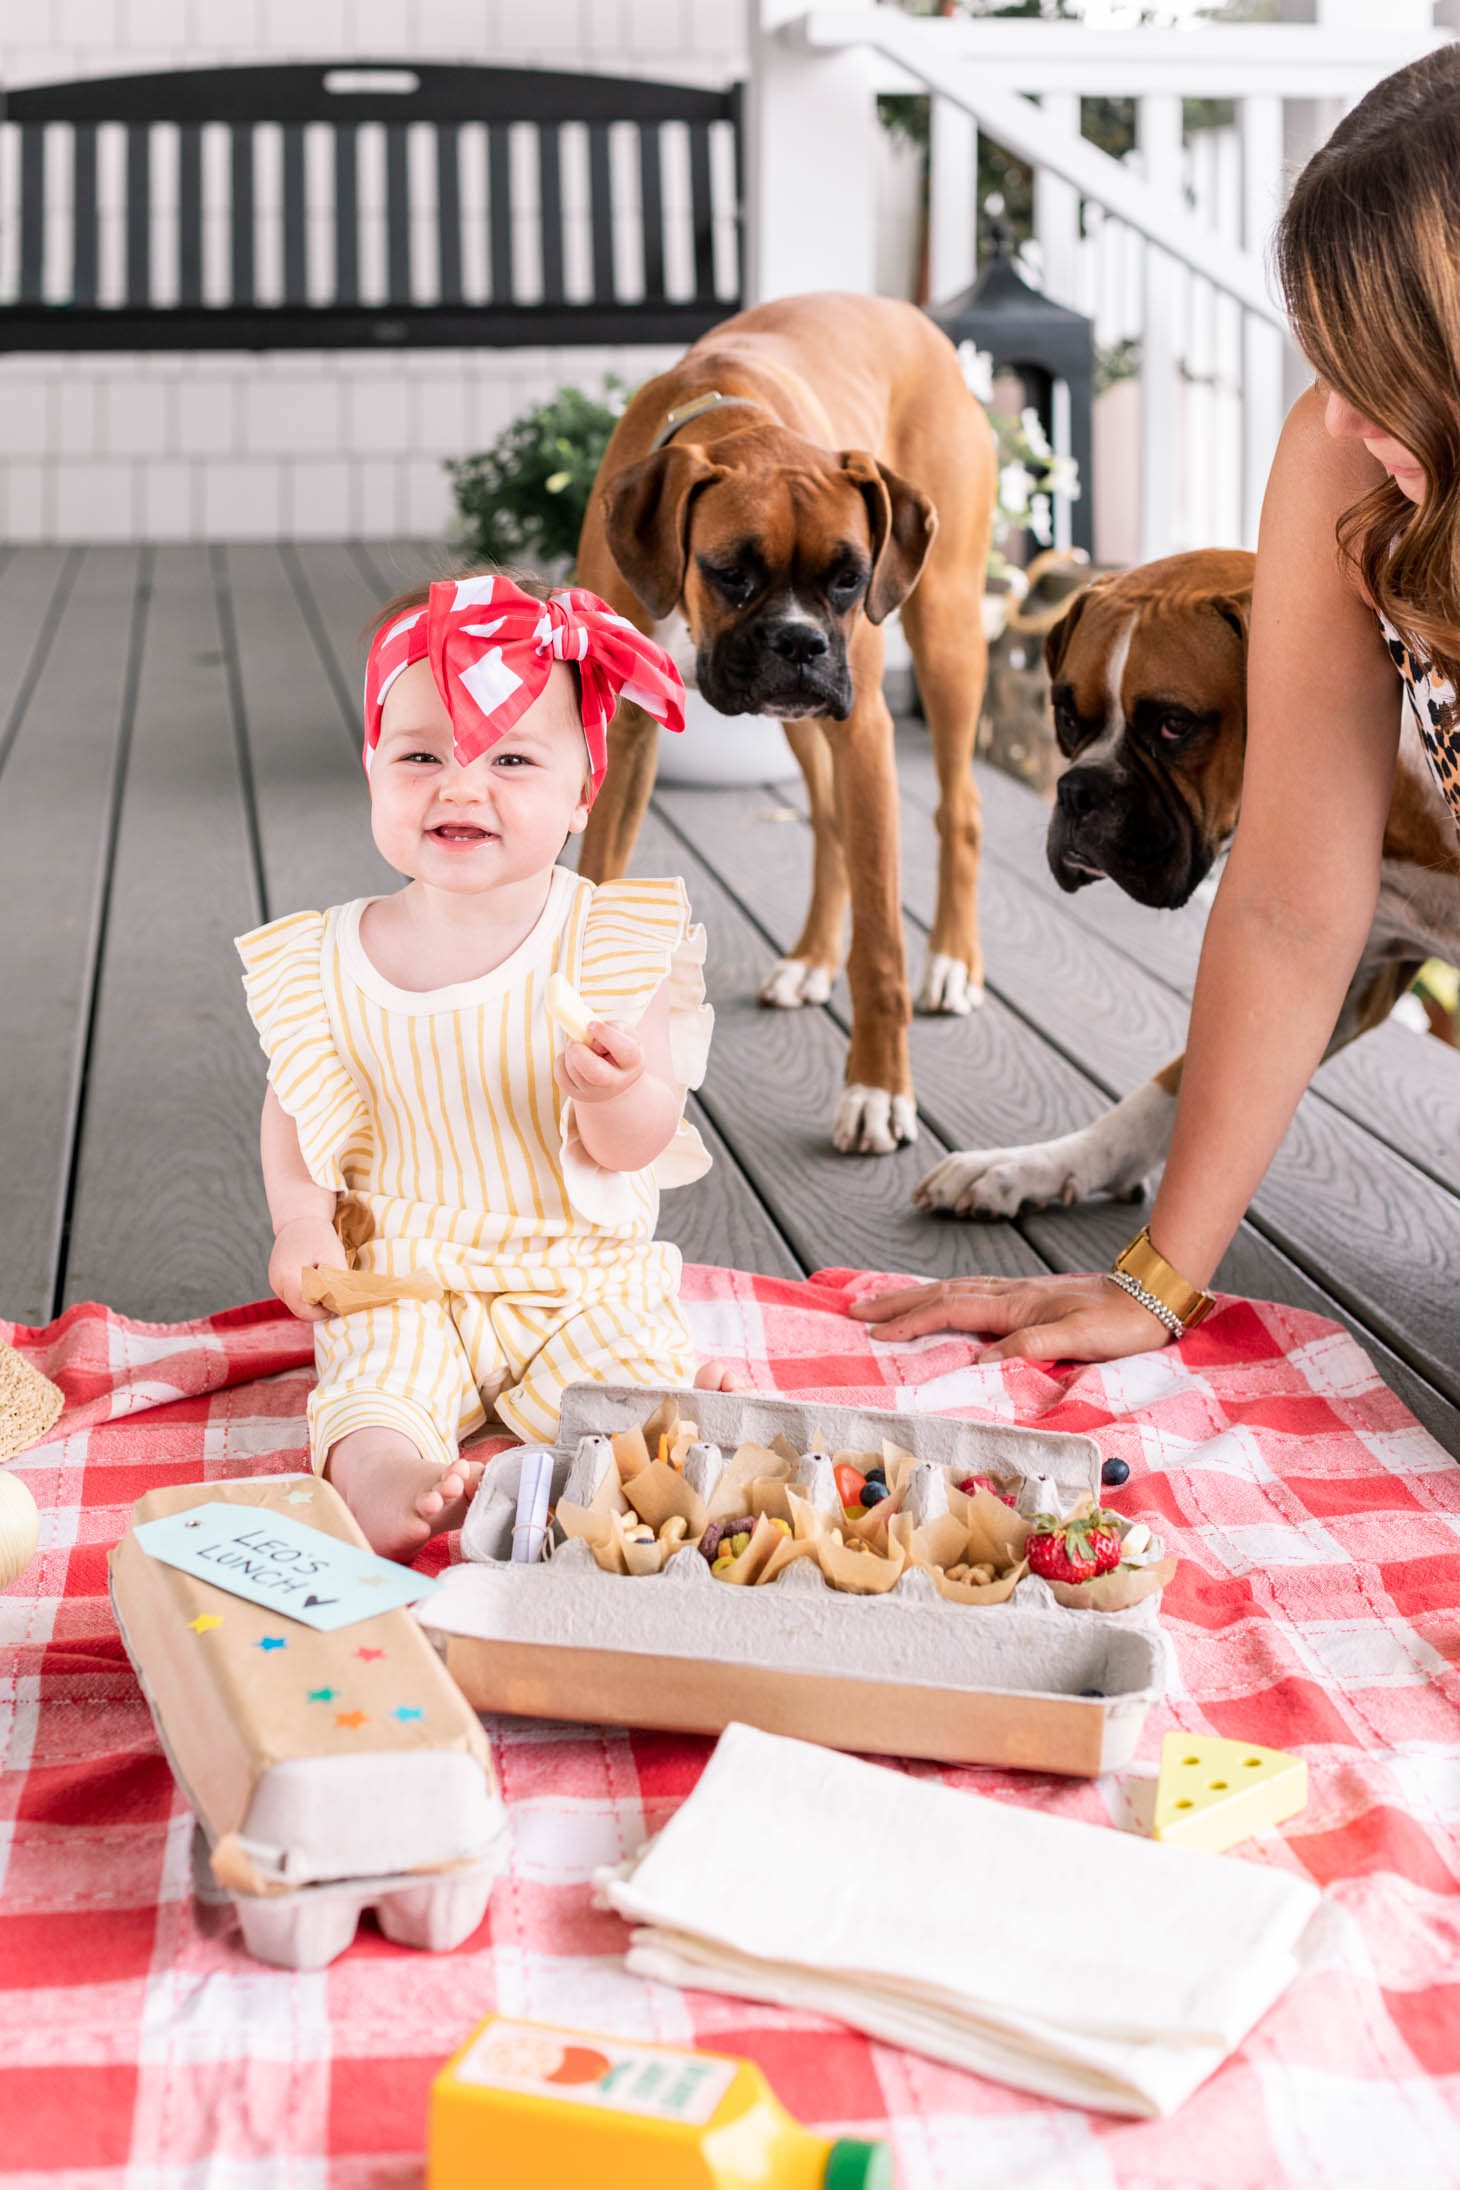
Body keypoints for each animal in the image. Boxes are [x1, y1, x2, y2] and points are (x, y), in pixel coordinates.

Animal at [577, 295, 998, 1165]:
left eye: (849, 578)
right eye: (731, 573)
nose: (801, 643)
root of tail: (918, 321)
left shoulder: (865, 731)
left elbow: (881, 948)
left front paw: (877, 1091)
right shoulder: (628, 736)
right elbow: (600, 878)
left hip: (943, 635)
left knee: (959, 809)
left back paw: (951, 961)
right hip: (805, 724)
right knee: (831, 820)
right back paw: (811, 959)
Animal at [914, 547, 1460, 1217]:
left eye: (1175, 725)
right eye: (1065, 716)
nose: (1078, 790)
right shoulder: (1331, 967)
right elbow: (1166, 1098)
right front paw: (1034, 1166)